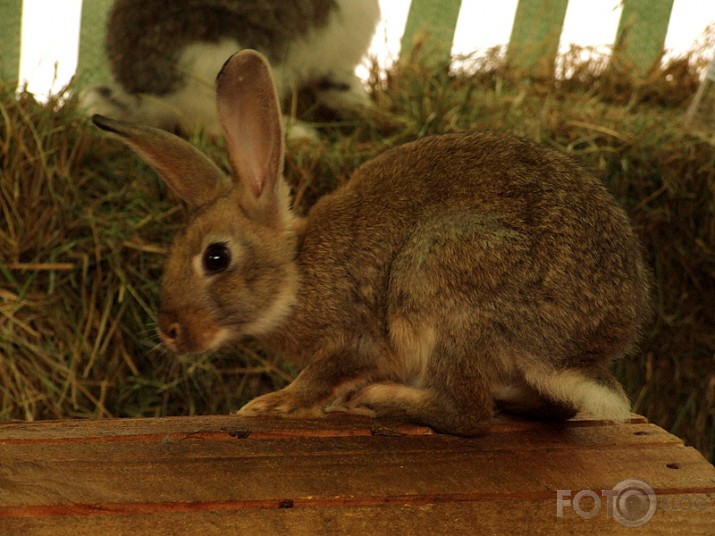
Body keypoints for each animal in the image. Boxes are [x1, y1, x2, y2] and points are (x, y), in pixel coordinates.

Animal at [95, 50, 656, 436]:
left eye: (216, 257)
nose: (170, 332)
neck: (298, 274)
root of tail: (578, 351)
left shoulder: (355, 337)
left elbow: (324, 373)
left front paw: (275, 403)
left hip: (444, 281)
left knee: (469, 414)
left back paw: (377, 400)